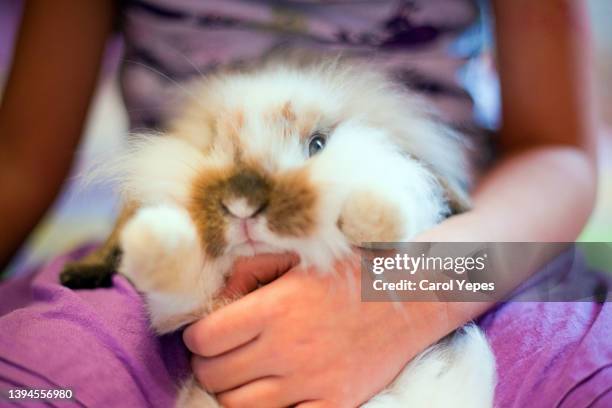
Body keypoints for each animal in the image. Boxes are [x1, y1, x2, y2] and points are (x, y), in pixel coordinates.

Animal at [59, 55, 494, 408]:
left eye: (318, 144)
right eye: (213, 144)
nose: (242, 205)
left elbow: (403, 207)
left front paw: (373, 209)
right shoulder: (189, 307)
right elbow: (175, 272)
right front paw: (151, 234)